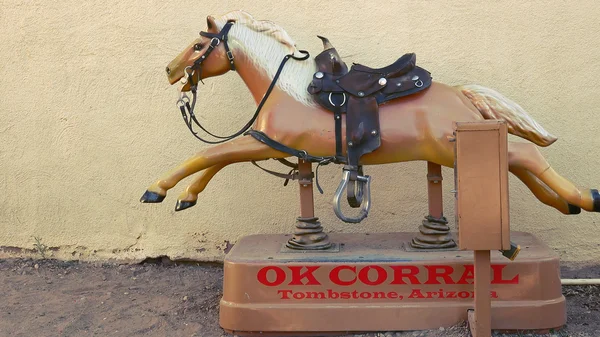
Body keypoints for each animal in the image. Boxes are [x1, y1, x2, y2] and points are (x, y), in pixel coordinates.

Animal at [141, 10, 600, 218]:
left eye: (199, 46)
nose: (169, 71)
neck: (287, 89)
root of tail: (462, 96)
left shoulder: (268, 145)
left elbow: (207, 155)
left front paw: (157, 189)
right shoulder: (269, 146)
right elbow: (214, 160)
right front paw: (185, 197)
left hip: (452, 147)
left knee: (526, 156)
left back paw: (584, 197)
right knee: (517, 160)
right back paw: (562, 203)